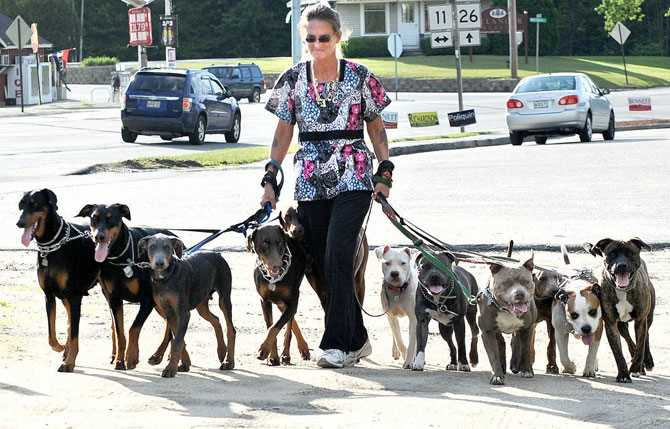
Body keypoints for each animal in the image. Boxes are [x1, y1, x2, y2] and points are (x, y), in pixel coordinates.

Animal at [480, 254, 540, 384]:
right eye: (507, 283)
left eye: (526, 282)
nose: (520, 293)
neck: (507, 310)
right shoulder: (487, 331)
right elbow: (493, 355)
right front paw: (497, 376)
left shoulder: (528, 328)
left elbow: (526, 349)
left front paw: (526, 370)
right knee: (501, 342)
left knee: (517, 342)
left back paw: (516, 365)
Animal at [588, 237, 656, 382]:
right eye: (612, 253)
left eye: (630, 253)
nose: (621, 265)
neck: (623, 291)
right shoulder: (611, 323)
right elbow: (618, 352)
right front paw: (624, 374)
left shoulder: (640, 320)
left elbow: (640, 346)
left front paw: (635, 368)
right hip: (621, 325)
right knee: (628, 339)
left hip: (649, 317)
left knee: (646, 337)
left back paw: (647, 361)